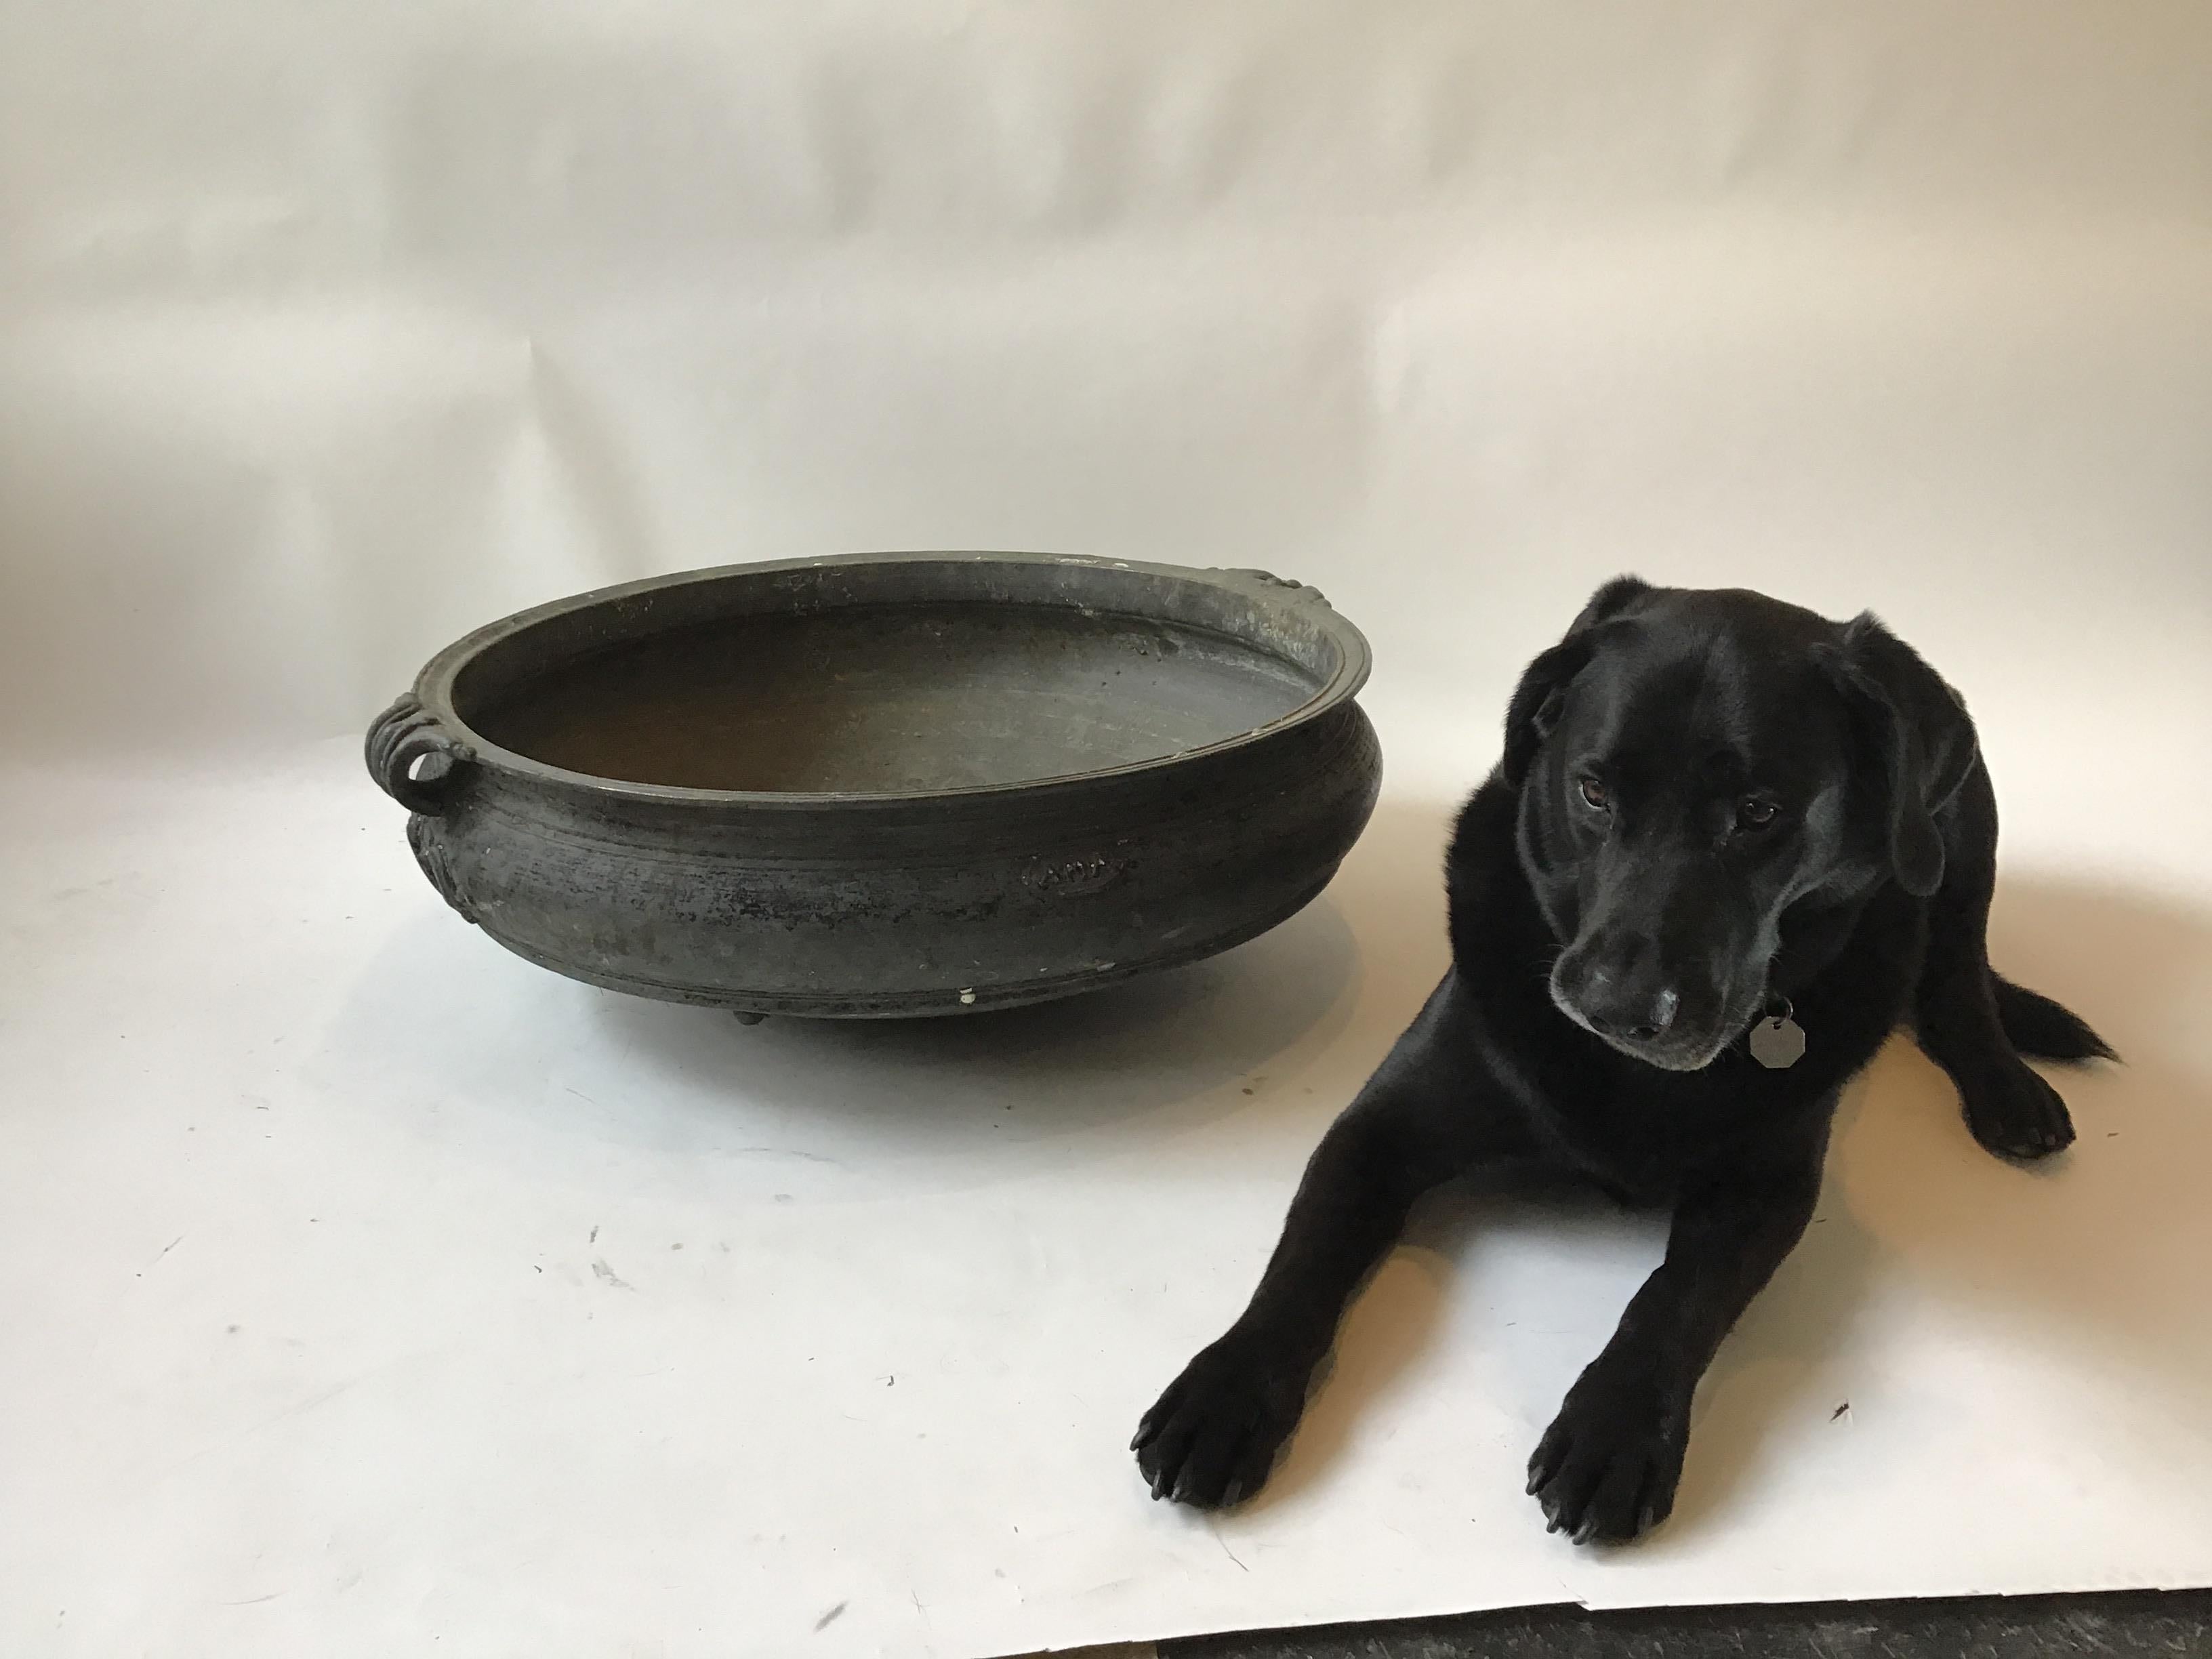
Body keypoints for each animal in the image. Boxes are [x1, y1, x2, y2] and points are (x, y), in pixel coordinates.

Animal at [1132, 579, 2114, 1548]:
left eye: (1760, 811)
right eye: (1594, 791)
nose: (1616, 1007)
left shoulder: (1767, 1187)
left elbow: (1674, 1296)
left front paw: (1617, 1430)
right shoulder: (1379, 1128)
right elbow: (1306, 1256)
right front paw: (1226, 1391)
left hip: (1963, 840)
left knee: (1957, 976)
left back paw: (2010, 1093)